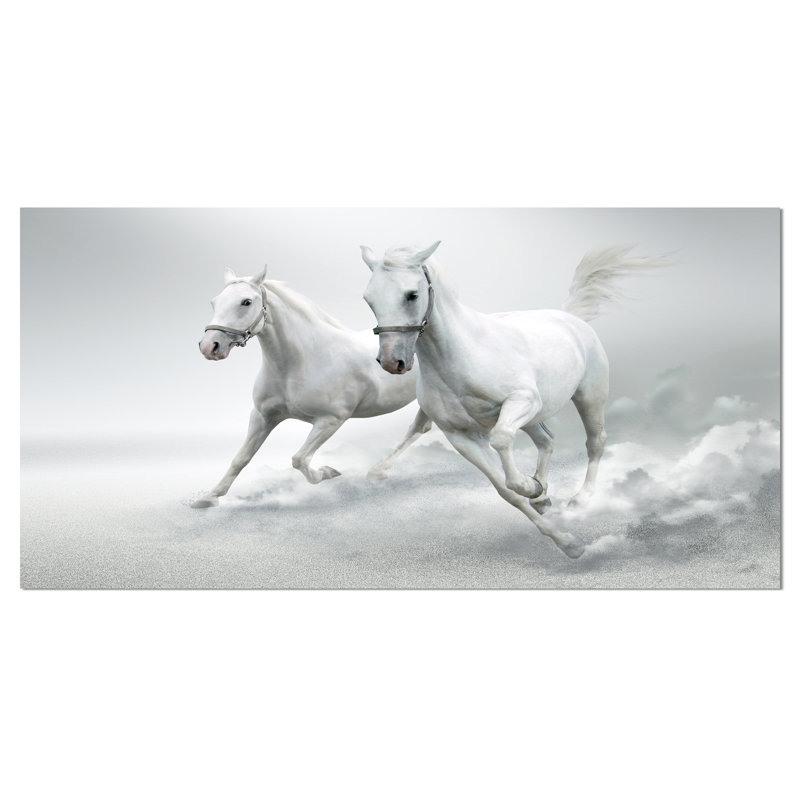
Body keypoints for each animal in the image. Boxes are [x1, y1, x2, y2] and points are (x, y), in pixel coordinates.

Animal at [192, 265, 432, 508]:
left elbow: (299, 459)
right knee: (420, 428)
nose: (209, 346)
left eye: (246, 302)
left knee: (418, 429)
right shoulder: (263, 416)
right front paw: (208, 498)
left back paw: (377, 470)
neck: (302, 362)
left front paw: (327, 472)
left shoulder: (331, 420)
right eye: (214, 302)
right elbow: (240, 459)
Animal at [360, 242, 670, 558]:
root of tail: (570, 318)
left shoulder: (521, 401)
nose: (391, 362)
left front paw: (532, 489)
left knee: (595, 442)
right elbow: (506, 491)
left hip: (588, 395)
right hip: (535, 417)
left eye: (411, 294)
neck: (463, 356)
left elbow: (501, 441)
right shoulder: (460, 436)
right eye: (369, 299)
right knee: (547, 440)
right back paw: (542, 496)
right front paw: (563, 537)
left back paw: (580, 499)